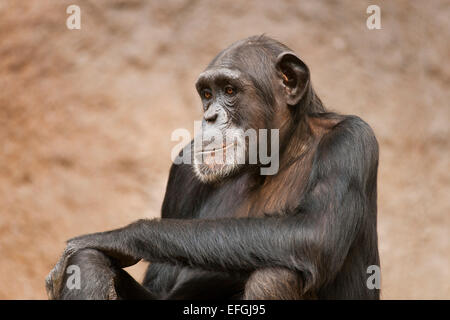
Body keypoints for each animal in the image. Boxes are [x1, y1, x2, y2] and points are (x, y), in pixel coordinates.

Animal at [45, 35, 380, 300]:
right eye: (207, 94)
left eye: (230, 91)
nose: (210, 117)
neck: (273, 157)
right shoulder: (182, 172)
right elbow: (159, 285)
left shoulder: (351, 141)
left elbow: (315, 232)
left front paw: (117, 236)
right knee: (86, 263)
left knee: (276, 275)